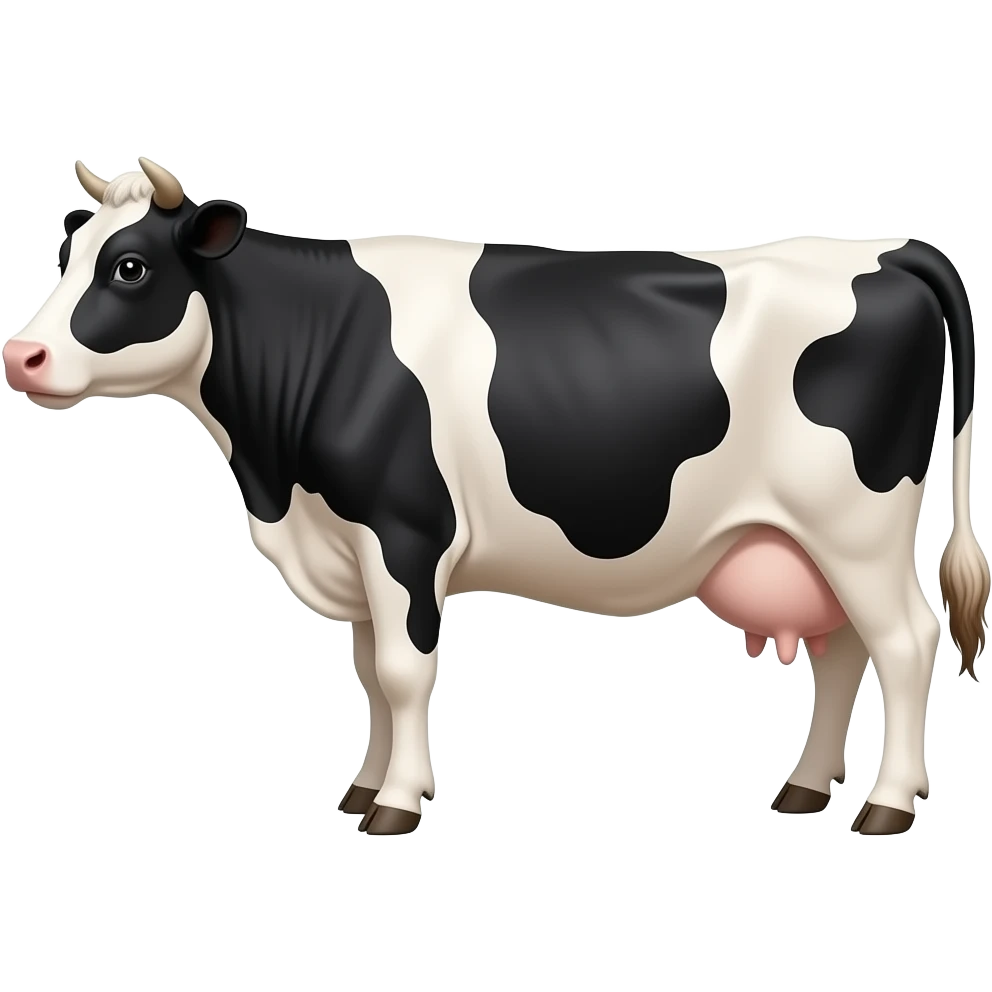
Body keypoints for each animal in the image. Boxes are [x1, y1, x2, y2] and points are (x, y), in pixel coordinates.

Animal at [3, 158, 987, 837]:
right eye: (65, 253)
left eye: (130, 269)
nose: (22, 355)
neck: (274, 473)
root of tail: (882, 249)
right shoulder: (352, 543)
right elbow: (371, 673)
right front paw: (366, 784)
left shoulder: (402, 531)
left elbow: (405, 671)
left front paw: (397, 805)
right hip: (808, 541)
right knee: (841, 650)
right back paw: (806, 788)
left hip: (855, 524)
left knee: (905, 641)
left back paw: (887, 806)